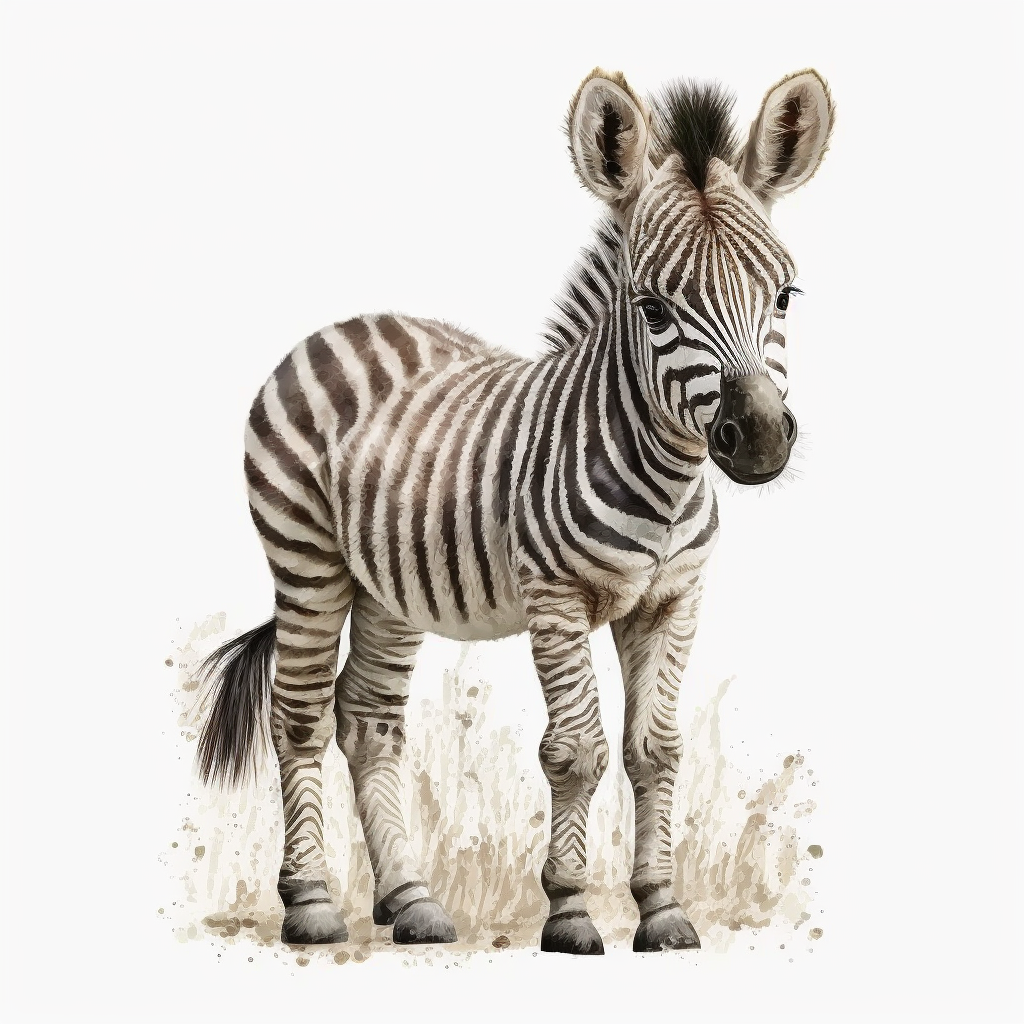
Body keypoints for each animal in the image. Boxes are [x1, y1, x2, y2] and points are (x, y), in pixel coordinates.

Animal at [196, 67, 834, 955]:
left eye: (784, 295)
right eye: (652, 308)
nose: (762, 439)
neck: (666, 481)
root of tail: (339, 326)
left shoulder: (674, 600)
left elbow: (655, 750)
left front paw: (662, 911)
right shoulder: (555, 599)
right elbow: (576, 751)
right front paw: (569, 913)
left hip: (389, 586)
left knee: (369, 721)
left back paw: (411, 902)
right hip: (306, 558)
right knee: (298, 717)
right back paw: (313, 904)